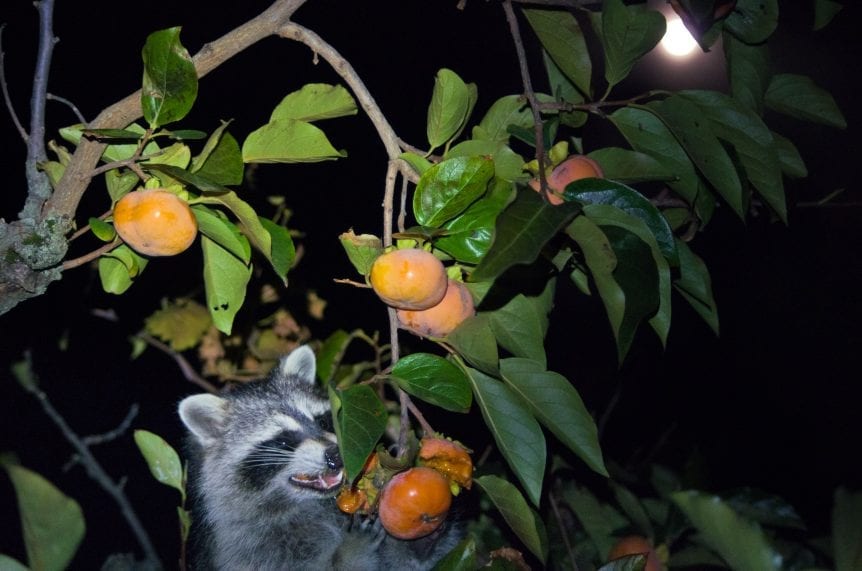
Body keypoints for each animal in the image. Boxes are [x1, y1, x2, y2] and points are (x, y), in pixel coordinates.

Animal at [178, 345, 460, 570]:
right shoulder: (251, 547)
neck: (309, 505)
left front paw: (423, 542)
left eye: (323, 420)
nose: (335, 455)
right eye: (283, 440)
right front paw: (352, 551)